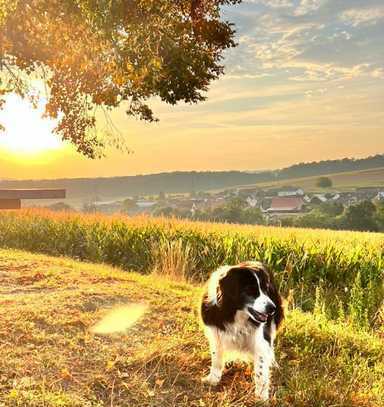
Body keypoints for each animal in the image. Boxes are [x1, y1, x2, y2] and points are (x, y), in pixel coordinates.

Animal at [201, 262, 282, 402]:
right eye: (250, 290)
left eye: (265, 289)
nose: (272, 308)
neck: (234, 312)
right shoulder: (215, 332)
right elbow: (216, 358)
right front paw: (213, 379)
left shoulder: (260, 339)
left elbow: (261, 369)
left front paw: (261, 396)